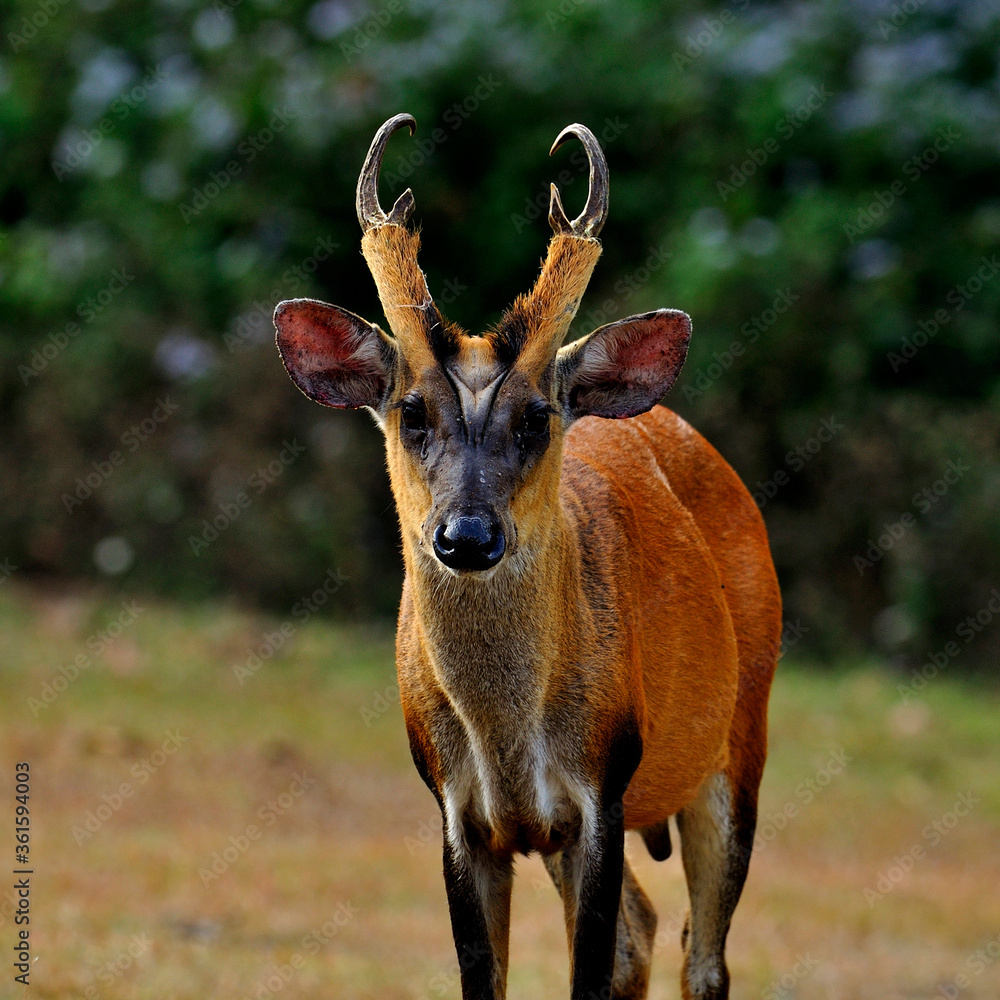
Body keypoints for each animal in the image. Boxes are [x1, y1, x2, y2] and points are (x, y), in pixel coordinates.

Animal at [272, 113, 780, 1000]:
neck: (509, 736)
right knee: (645, 931)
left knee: (705, 955)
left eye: (537, 416)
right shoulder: (457, 811)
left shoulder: (603, 788)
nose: (467, 537)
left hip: (739, 734)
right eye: (411, 412)